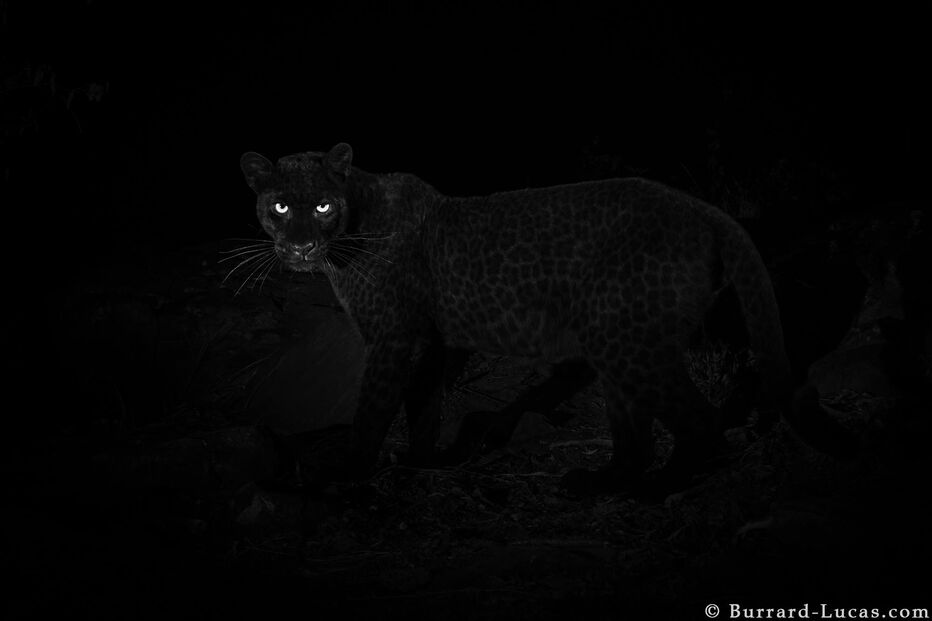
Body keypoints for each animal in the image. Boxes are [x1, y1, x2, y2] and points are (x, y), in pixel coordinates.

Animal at [239, 143, 857, 491]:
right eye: (280, 206)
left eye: (322, 205)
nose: (298, 246)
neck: (353, 225)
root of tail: (705, 209)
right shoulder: (432, 344)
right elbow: (425, 407)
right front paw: (420, 465)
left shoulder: (393, 339)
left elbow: (373, 409)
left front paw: (349, 474)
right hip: (618, 343)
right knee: (637, 434)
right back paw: (601, 483)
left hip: (628, 343)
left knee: (700, 422)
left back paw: (662, 485)